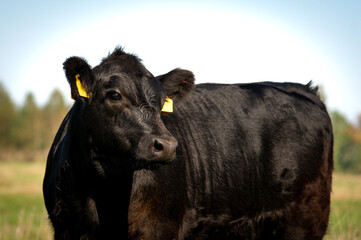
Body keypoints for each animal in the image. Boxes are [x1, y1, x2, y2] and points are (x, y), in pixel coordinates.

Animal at [43, 46, 334, 239]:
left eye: (162, 102)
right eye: (114, 95)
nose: (167, 145)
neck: (102, 191)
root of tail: (303, 88)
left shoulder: (160, 228)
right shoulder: (66, 228)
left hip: (306, 217)